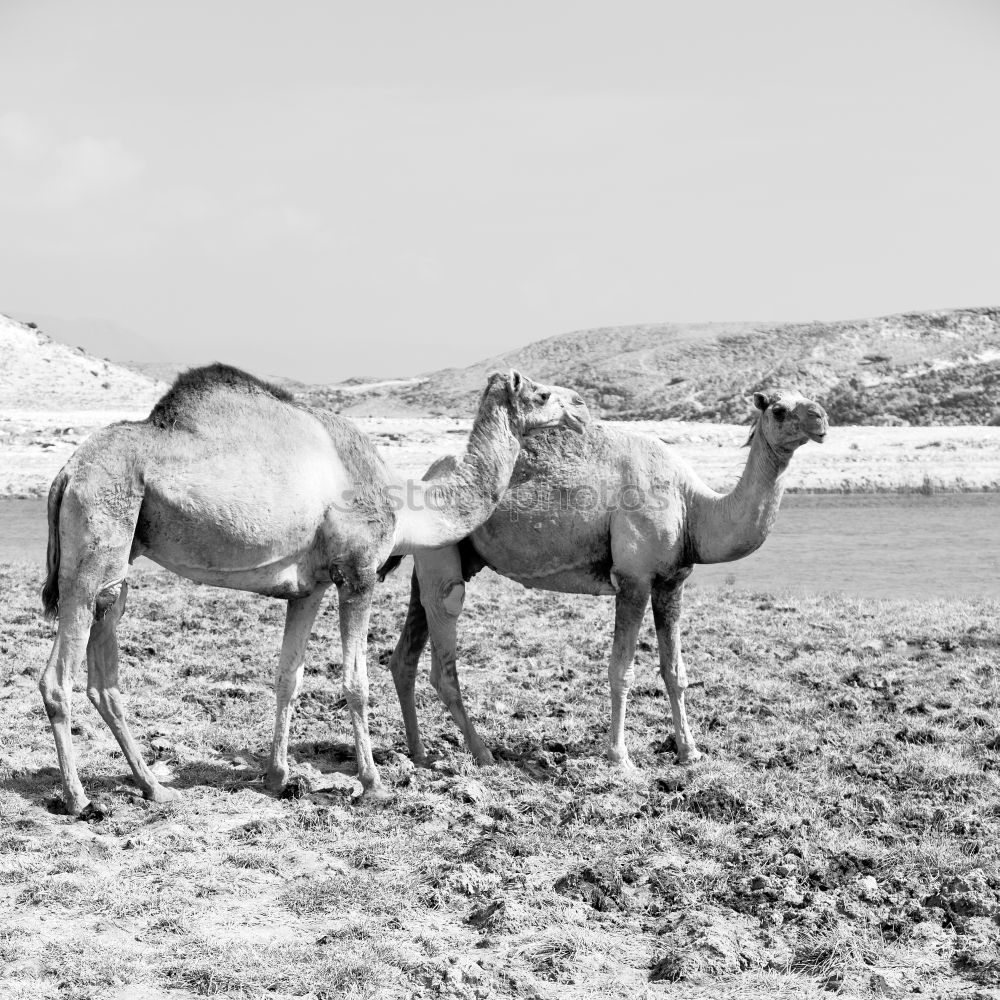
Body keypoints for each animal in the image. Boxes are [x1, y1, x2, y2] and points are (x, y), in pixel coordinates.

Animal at [37, 364, 584, 816]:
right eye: (542, 393)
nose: (580, 408)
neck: (405, 503)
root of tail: (66, 473)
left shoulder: (311, 587)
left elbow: (289, 677)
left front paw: (278, 777)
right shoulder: (358, 573)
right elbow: (356, 682)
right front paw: (373, 783)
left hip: (120, 561)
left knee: (104, 674)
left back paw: (155, 787)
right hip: (95, 541)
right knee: (57, 677)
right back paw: (79, 798)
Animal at [380, 388, 828, 764]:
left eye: (809, 398)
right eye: (778, 409)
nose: (821, 418)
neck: (693, 508)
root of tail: (423, 481)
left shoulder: (672, 580)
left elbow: (675, 672)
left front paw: (691, 752)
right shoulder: (633, 578)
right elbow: (621, 670)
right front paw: (620, 757)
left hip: (439, 557)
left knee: (405, 654)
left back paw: (419, 754)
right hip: (443, 560)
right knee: (444, 641)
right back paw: (483, 754)